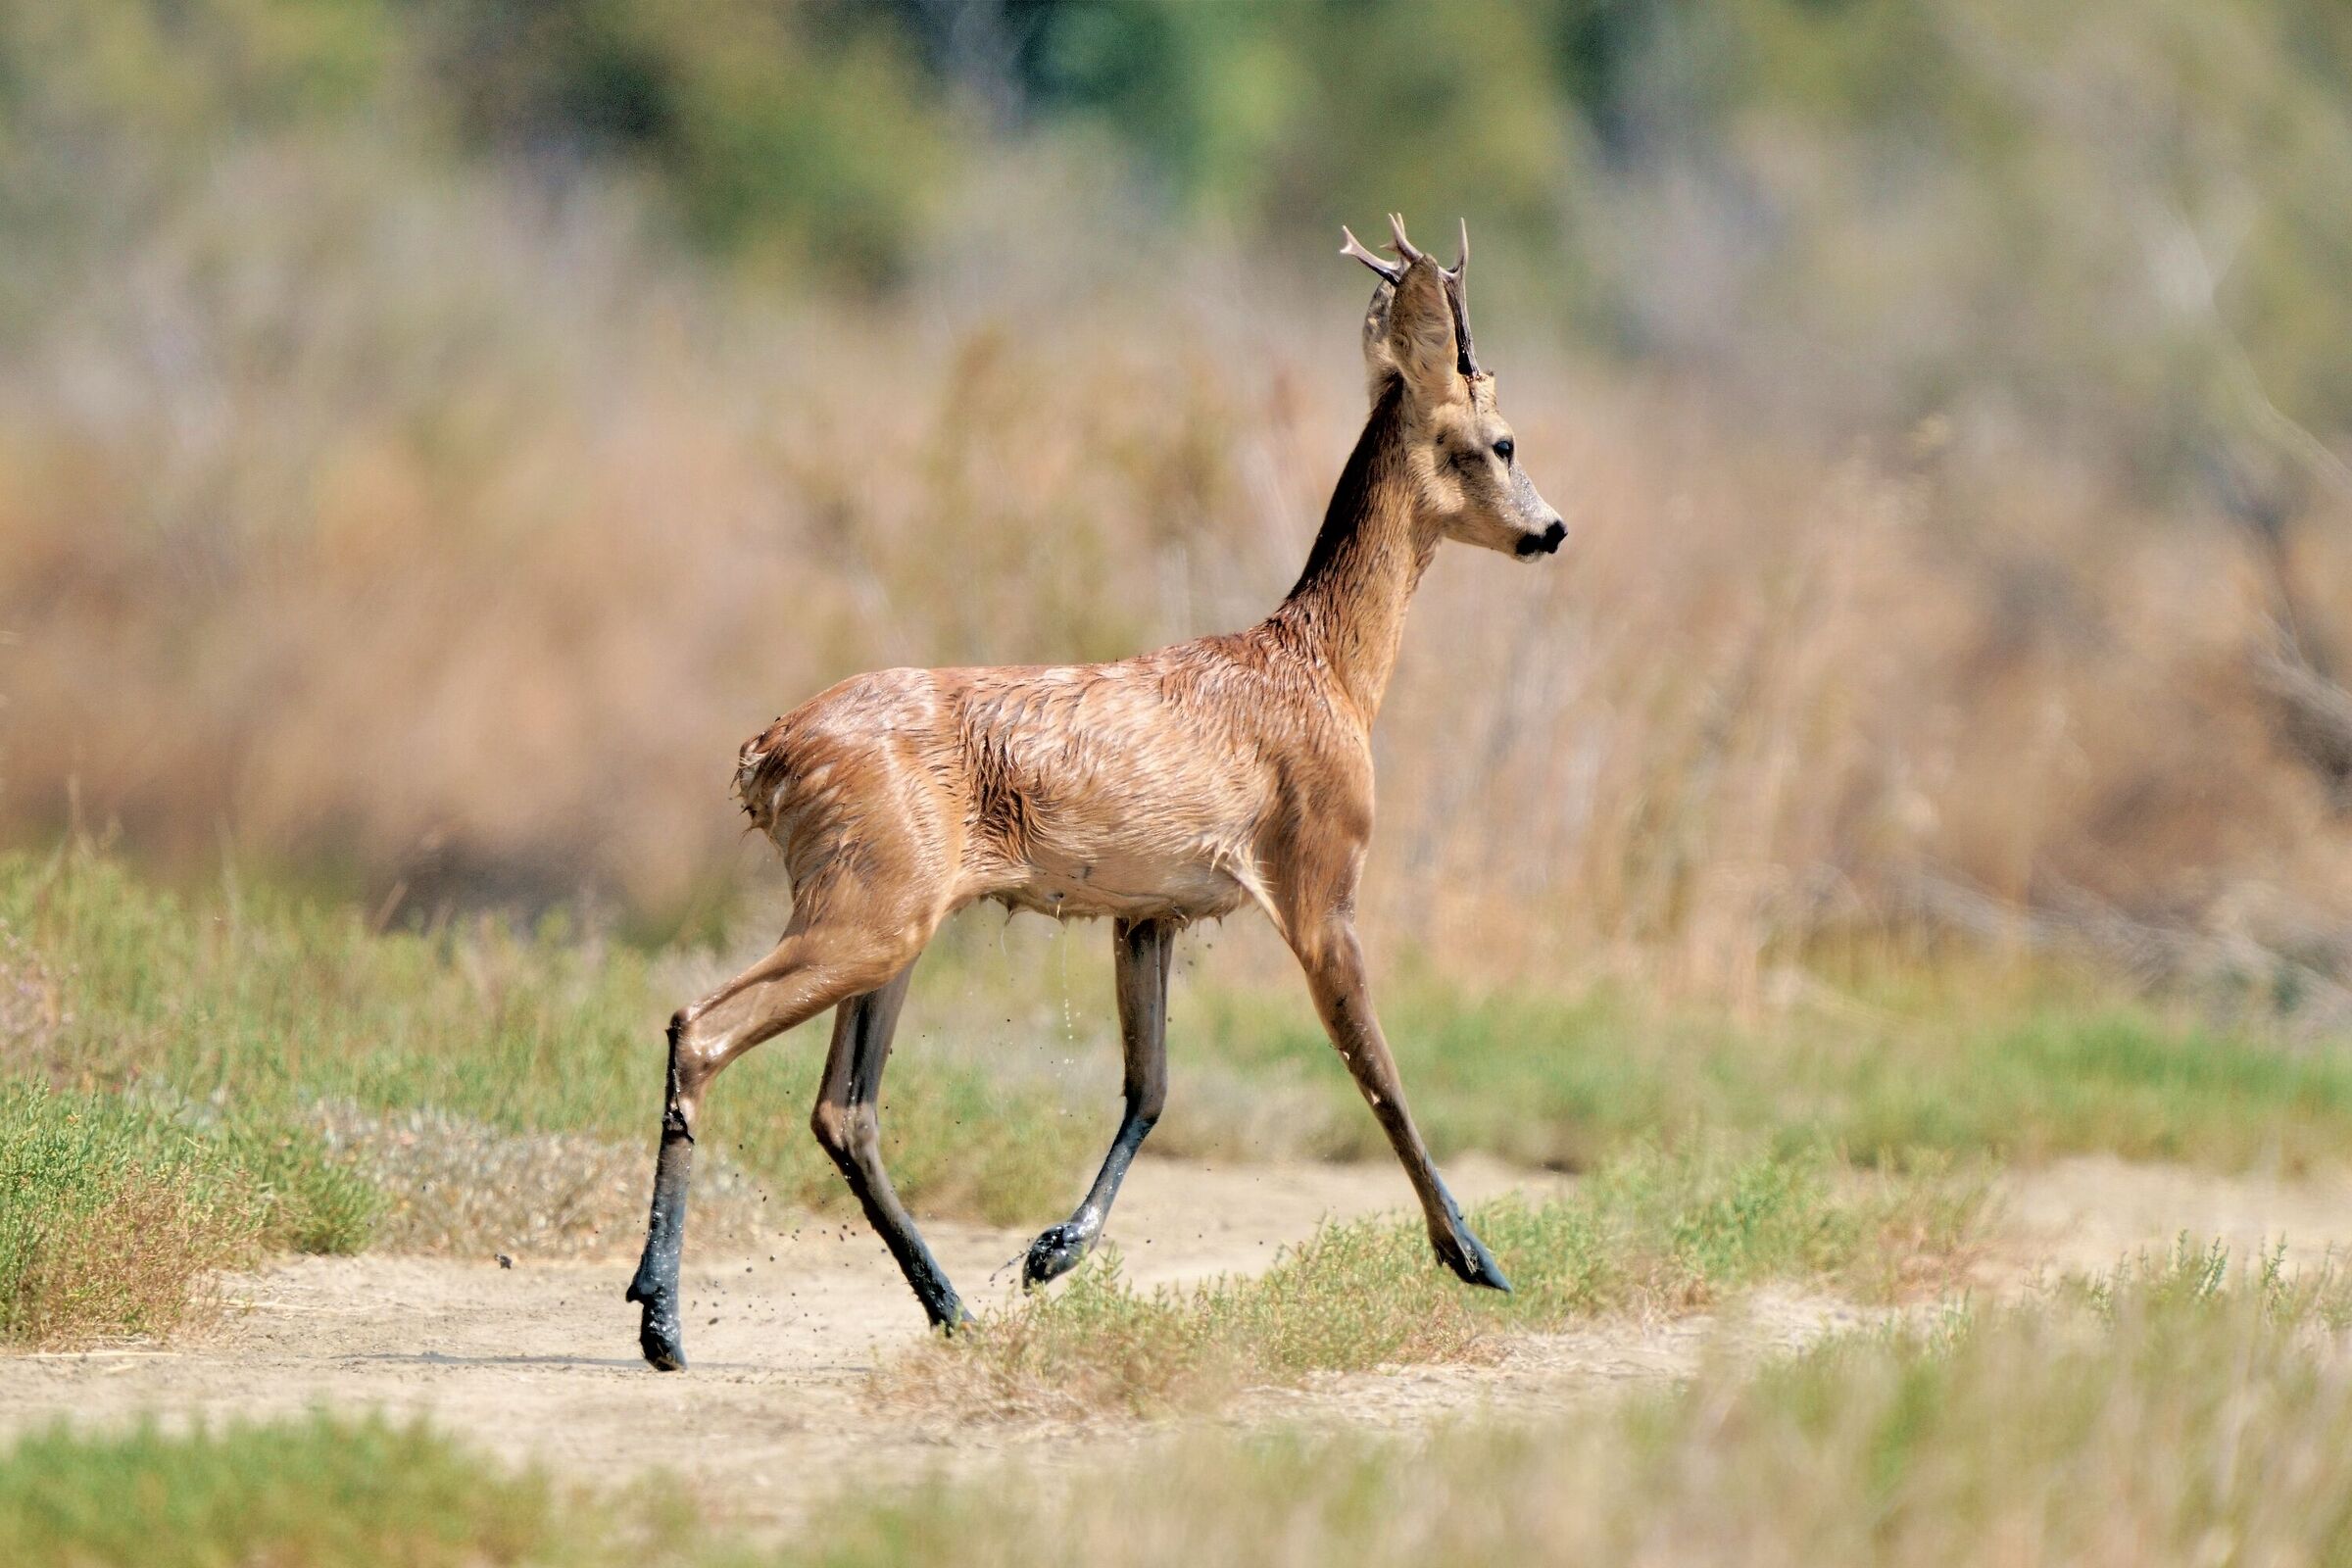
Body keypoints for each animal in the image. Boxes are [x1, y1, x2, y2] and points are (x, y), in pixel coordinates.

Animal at [627, 215, 1566, 1370]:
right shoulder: (1321, 877)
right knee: (702, 1027)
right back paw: (663, 1320)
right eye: (1505, 441)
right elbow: (1378, 1071)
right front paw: (1473, 1255)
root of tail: (767, 752)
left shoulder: (1149, 910)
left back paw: (949, 1305)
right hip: (868, 904)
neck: (1330, 673)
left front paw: (1054, 1251)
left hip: (888, 913)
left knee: (843, 1110)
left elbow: (1149, 1086)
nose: (1552, 530)